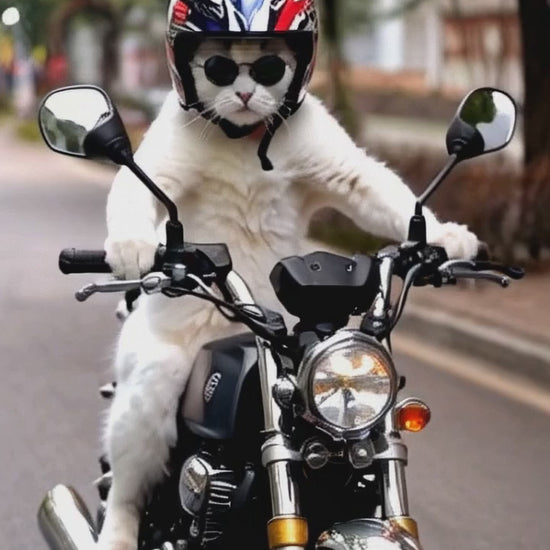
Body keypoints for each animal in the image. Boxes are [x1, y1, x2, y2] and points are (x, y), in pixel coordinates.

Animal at [99, 36, 478, 548]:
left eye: (269, 67)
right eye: (217, 67)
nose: (243, 94)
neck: (244, 138)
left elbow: (368, 184)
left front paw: (447, 237)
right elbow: (137, 186)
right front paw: (130, 246)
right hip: (150, 381)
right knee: (127, 472)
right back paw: (116, 530)